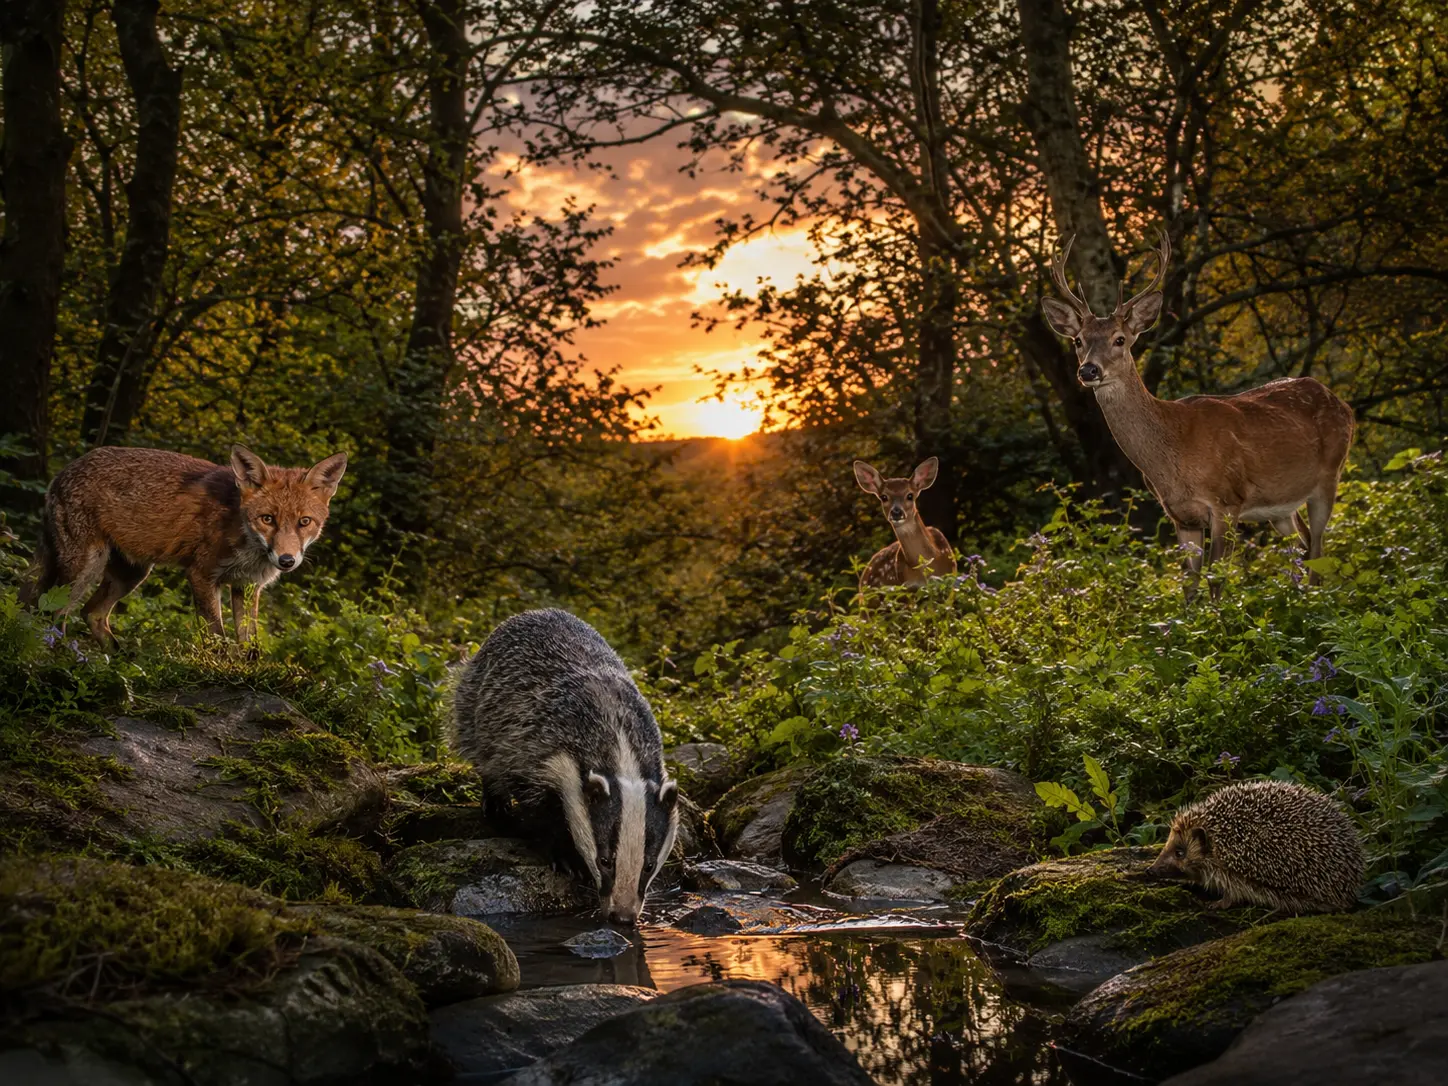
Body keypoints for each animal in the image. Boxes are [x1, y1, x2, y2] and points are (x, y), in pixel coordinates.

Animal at [19, 445, 347, 647]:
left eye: (304, 522)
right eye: (267, 519)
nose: (287, 560)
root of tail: (63, 471)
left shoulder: (247, 586)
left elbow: (249, 644)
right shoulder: (202, 575)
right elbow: (217, 638)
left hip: (132, 574)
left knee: (91, 613)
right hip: (84, 568)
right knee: (49, 614)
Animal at [1040, 230, 1356, 598]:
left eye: (1119, 339)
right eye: (1078, 340)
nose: (1088, 370)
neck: (1174, 453)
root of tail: (1342, 403)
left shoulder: (1227, 502)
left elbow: (1216, 581)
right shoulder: (1181, 516)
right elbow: (1188, 587)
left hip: (1329, 475)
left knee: (1318, 548)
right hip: (1281, 506)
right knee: (1302, 546)